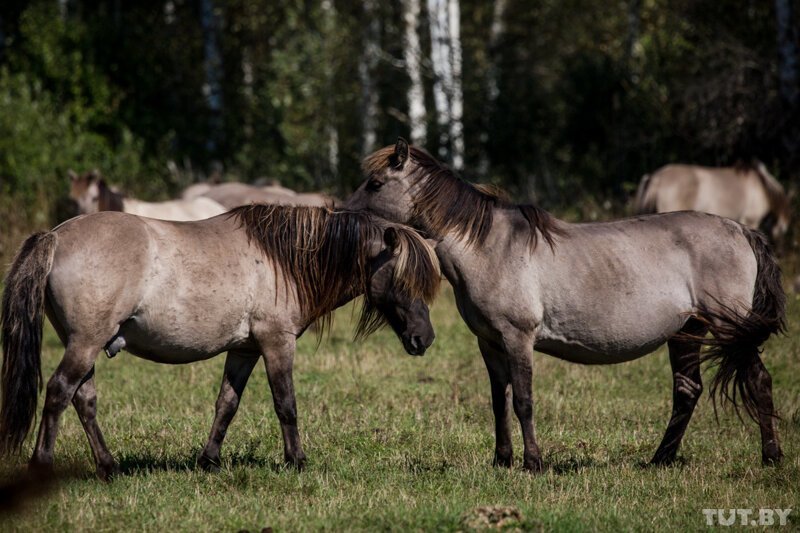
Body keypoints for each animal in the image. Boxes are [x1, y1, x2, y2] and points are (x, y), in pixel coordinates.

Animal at [0, 204, 440, 478]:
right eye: (403, 278)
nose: (425, 338)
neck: (284, 260)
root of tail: (56, 237)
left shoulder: (243, 350)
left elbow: (227, 404)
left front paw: (209, 460)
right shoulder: (277, 343)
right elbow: (286, 406)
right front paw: (296, 460)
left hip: (85, 343)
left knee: (83, 400)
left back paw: (109, 468)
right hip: (86, 343)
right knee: (60, 392)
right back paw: (42, 466)